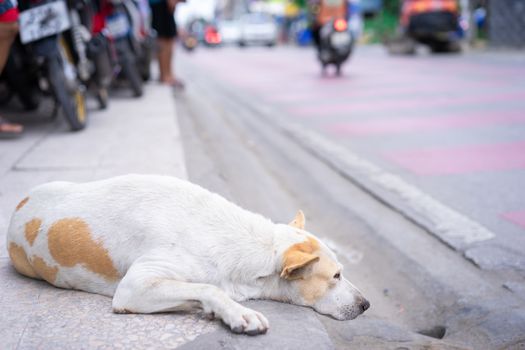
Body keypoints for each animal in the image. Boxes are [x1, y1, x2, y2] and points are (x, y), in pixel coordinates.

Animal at [7, 174, 368, 334]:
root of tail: (18, 204)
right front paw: (236, 312)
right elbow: (208, 288)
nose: (366, 304)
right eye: (336, 276)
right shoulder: (136, 287)